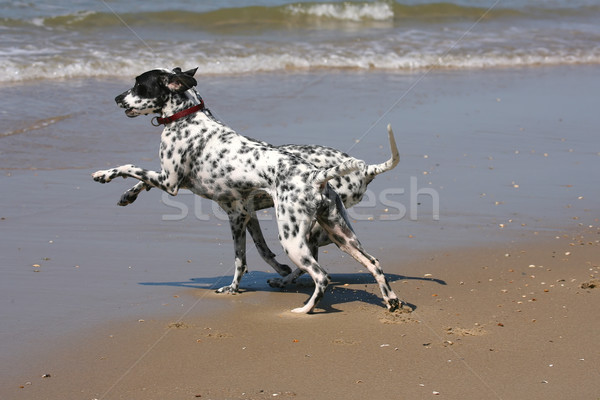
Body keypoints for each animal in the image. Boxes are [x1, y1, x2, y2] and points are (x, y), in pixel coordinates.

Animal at [94, 67, 400, 314]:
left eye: (138, 85)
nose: (116, 98)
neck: (188, 118)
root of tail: (315, 175)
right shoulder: (239, 214)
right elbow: (246, 257)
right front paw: (127, 195)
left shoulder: (170, 182)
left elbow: (130, 167)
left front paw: (104, 174)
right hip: (341, 236)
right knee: (374, 263)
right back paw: (391, 300)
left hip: (295, 239)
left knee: (321, 275)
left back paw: (305, 309)